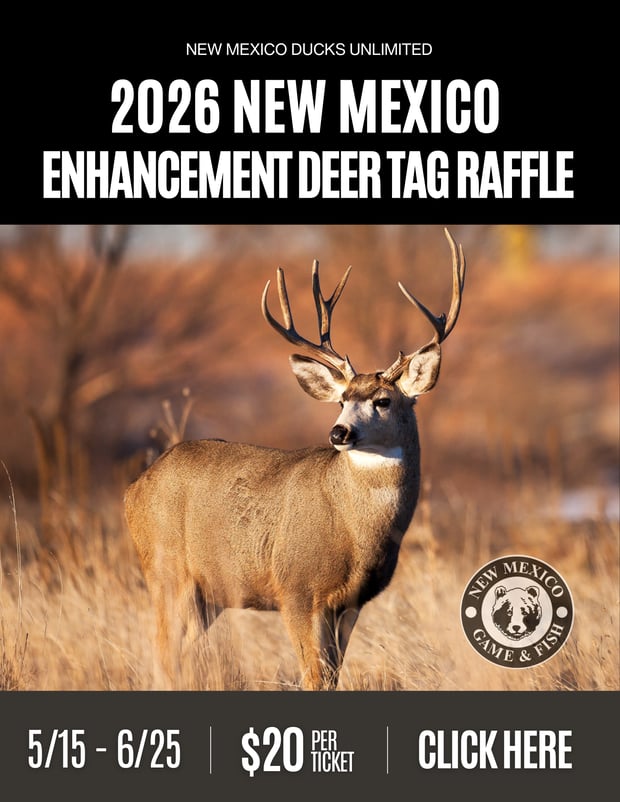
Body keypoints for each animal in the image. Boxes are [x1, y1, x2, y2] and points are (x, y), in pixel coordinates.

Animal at [125, 228, 466, 690]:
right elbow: (314, 676)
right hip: (166, 572)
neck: (355, 531)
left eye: (382, 400)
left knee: (176, 656)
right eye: (342, 399)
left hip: (207, 595)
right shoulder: (296, 589)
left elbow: (332, 675)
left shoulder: (351, 602)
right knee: (161, 655)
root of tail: (133, 489)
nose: (339, 432)